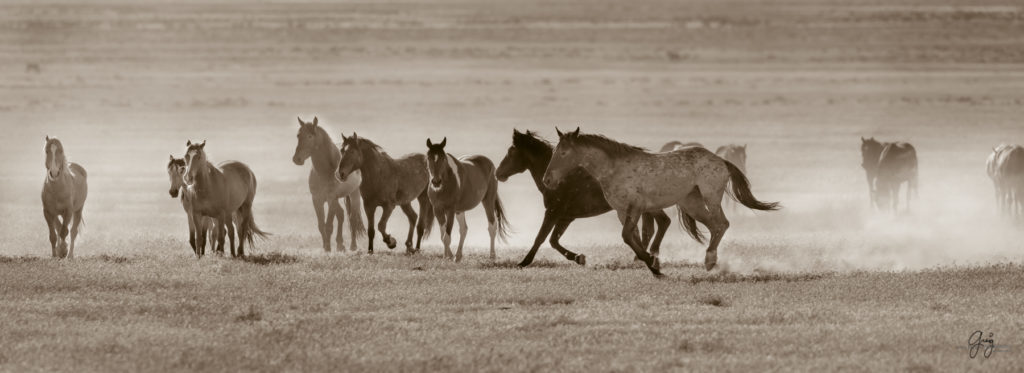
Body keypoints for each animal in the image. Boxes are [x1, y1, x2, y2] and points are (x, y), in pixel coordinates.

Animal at [290, 116, 366, 251]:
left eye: (310, 136)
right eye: (298, 135)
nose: (297, 159)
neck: (325, 172)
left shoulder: (331, 198)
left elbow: (329, 225)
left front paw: (328, 247)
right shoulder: (316, 199)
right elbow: (321, 225)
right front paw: (326, 247)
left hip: (354, 193)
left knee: (352, 218)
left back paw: (352, 245)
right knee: (341, 214)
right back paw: (340, 244)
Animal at [497, 129, 659, 266]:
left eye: (511, 151)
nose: (498, 173)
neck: (561, 178)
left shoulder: (552, 212)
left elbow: (540, 238)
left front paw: (524, 262)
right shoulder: (565, 217)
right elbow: (553, 240)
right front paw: (578, 257)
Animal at [544, 128, 774, 276]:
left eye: (563, 152)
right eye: (554, 151)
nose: (547, 179)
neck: (614, 169)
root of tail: (722, 160)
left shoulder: (636, 208)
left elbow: (629, 236)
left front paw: (652, 263)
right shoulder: (622, 211)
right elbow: (634, 237)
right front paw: (652, 262)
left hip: (711, 197)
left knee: (722, 224)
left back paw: (710, 259)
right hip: (692, 204)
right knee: (714, 226)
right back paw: (711, 261)